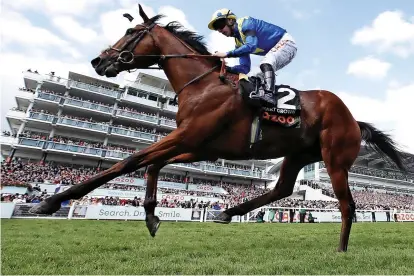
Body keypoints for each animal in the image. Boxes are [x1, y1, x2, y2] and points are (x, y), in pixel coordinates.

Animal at [30, 3, 406, 252]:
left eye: (131, 32)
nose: (99, 60)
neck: (202, 84)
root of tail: (352, 117)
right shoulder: (198, 145)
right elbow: (152, 164)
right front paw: (151, 218)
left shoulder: (188, 137)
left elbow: (131, 160)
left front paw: (51, 202)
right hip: (297, 155)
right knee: (282, 189)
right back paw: (227, 211)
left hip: (334, 159)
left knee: (347, 205)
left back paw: (340, 249)